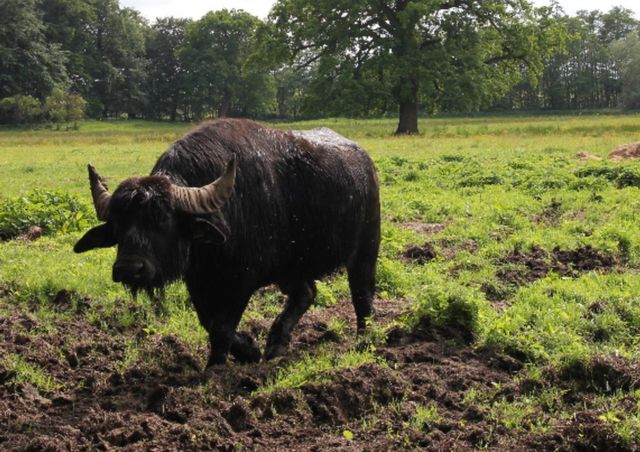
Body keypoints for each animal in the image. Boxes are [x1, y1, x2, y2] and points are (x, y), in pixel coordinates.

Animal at [74, 117, 380, 368]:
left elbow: (222, 326)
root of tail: (365, 164)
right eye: (119, 225)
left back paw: (364, 339)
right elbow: (209, 322)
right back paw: (276, 345)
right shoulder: (197, 281)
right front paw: (249, 350)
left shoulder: (242, 281)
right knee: (306, 292)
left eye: (162, 220)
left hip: (366, 248)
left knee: (362, 294)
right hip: (291, 266)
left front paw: (216, 366)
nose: (129, 268)